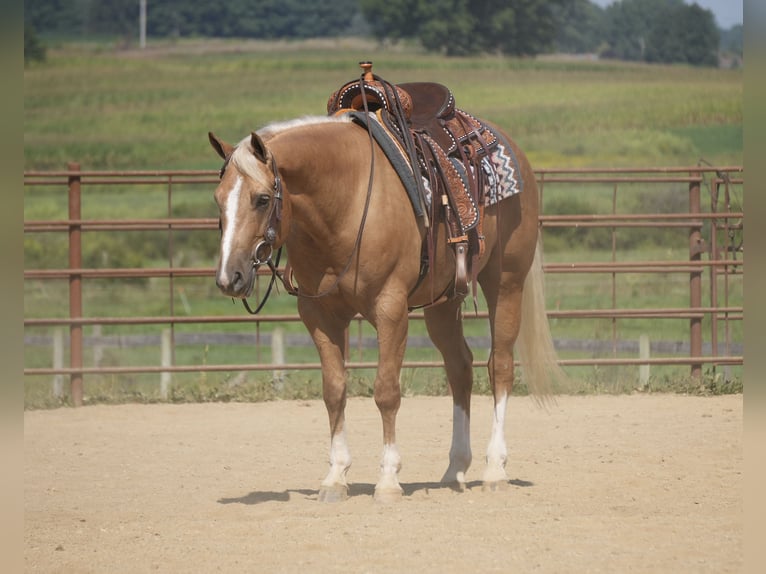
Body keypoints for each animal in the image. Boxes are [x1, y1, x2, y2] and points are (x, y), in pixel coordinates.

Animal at [209, 111, 563, 502]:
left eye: (260, 199)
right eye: (218, 199)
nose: (229, 277)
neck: (346, 201)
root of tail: (513, 149)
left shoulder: (390, 309)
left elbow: (386, 392)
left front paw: (389, 479)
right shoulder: (319, 316)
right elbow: (334, 391)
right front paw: (335, 477)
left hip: (506, 282)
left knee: (499, 366)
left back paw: (495, 469)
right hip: (443, 303)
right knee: (460, 368)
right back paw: (455, 468)